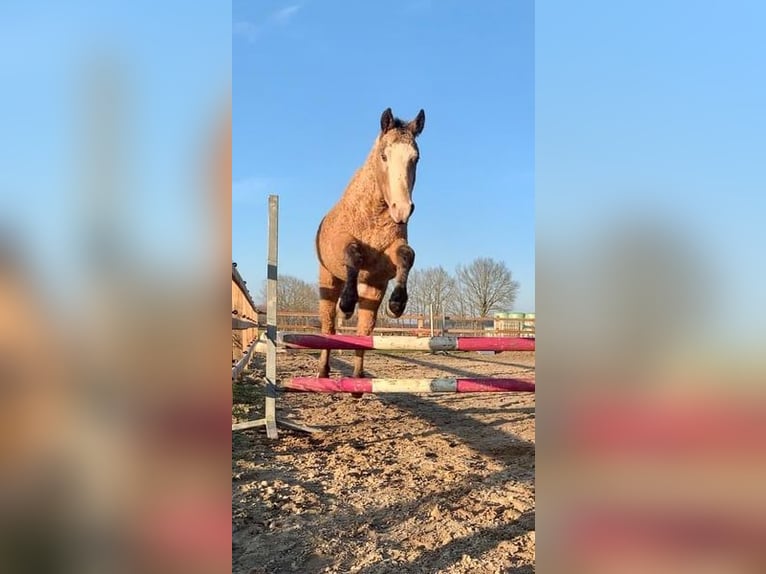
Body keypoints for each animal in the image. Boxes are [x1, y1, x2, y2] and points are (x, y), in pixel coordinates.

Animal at [315, 107, 426, 381]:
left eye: (415, 158)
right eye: (384, 156)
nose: (403, 209)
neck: (373, 213)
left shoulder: (387, 259)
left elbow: (407, 255)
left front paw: (397, 304)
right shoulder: (345, 243)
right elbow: (353, 254)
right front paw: (346, 304)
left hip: (373, 289)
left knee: (364, 332)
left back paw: (357, 378)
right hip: (328, 281)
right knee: (328, 327)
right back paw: (323, 371)